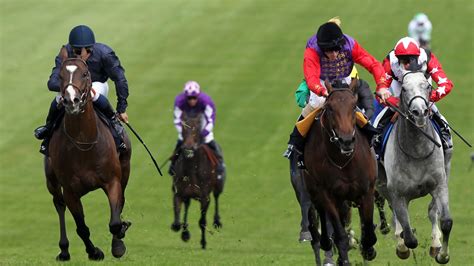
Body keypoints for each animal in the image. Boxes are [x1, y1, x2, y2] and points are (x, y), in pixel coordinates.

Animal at [44, 46, 131, 260]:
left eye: (85, 74)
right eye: (60, 75)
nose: (71, 101)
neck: (83, 143)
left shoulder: (113, 181)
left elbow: (115, 221)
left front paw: (119, 244)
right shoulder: (70, 191)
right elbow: (82, 228)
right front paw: (94, 252)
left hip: (125, 169)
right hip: (51, 181)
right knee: (59, 205)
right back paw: (64, 250)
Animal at [169, 112, 225, 249]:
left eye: (198, 129)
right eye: (183, 128)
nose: (189, 147)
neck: (191, 170)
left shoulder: (205, 197)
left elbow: (202, 221)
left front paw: (203, 243)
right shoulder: (178, 193)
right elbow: (177, 222)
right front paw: (184, 233)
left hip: (218, 186)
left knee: (216, 197)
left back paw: (217, 221)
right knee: (187, 206)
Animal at [304, 79, 378, 266]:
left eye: (353, 106)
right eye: (329, 108)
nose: (346, 140)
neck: (343, 162)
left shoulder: (367, 192)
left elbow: (368, 233)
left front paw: (368, 250)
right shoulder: (327, 195)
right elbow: (340, 235)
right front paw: (343, 259)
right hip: (315, 192)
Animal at [376, 71, 454, 264]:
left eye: (427, 86)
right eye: (404, 88)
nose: (419, 112)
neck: (417, 150)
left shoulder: (440, 185)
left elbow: (446, 221)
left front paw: (442, 254)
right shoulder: (398, 193)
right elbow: (409, 237)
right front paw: (403, 245)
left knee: (432, 212)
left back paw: (435, 244)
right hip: (382, 185)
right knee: (395, 215)